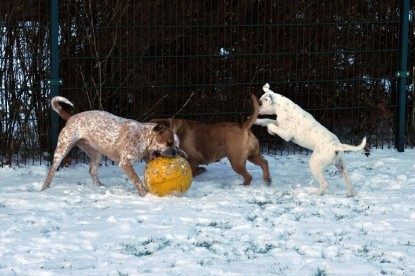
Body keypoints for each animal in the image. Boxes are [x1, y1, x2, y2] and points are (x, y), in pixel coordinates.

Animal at [41, 96, 187, 196]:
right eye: (168, 143)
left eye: (177, 145)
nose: (174, 152)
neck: (142, 136)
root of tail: (71, 118)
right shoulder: (125, 163)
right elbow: (137, 180)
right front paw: (145, 194)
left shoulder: (147, 156)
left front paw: (183, 153)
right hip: (62, 148)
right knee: (51, 171)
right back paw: (44, 188)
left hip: (96, 154)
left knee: (92, 171)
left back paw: (100, 186)